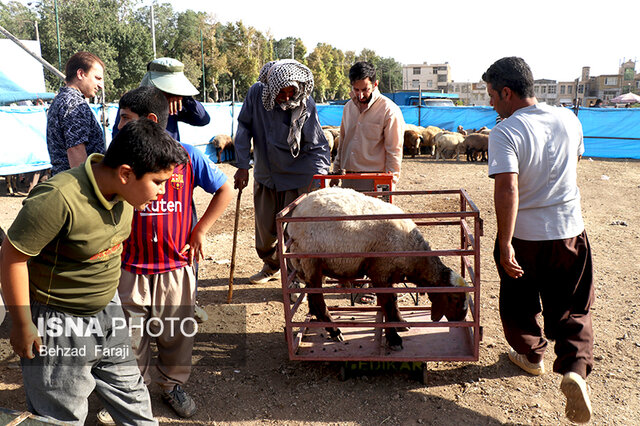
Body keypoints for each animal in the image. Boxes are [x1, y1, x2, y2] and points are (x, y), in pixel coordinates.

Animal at [288, 188, 470, 352]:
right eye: (454, 298)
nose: (461, 318)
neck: (410, 251)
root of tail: (295, 216)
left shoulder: (388, 273)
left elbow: (393, 299)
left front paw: (400, 322)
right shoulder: (380, 271)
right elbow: (387, 303)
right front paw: (394, 338)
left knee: (312, 295)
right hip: (311, 261)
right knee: (318, 298)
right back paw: (334, 331)